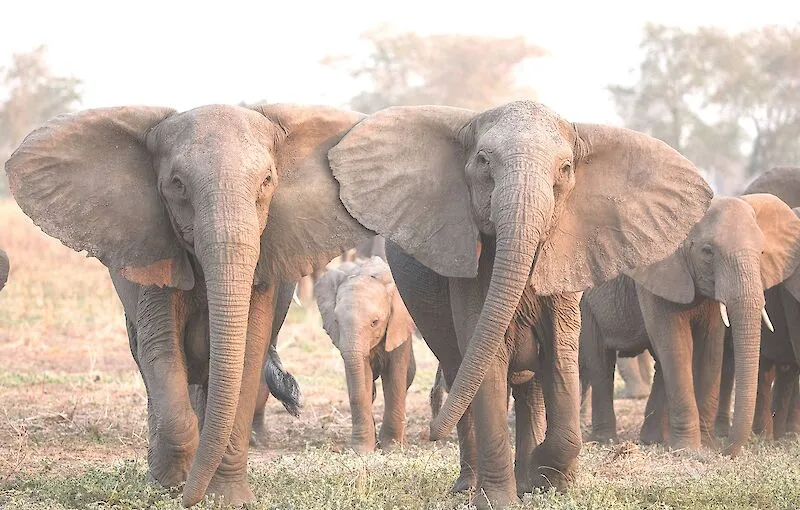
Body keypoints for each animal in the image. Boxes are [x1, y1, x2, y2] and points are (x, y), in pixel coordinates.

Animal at [5, 103, 373, 506]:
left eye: (266, 181)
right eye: (177, 184)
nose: (188, 499)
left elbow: (247, 355)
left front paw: (226, 498)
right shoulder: (155, 251)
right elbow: (161, 351)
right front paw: (170, 485)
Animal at [314, 256, 416, 452]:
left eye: (375, 322)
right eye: (336, 321)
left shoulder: (399, 325)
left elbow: (395, 378)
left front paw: (392, 447)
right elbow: (360, 383)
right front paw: (362, 451)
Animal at [326, 101, 714, 508]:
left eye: (565, 169)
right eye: (483, 161)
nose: (431, 432)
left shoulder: (567, 260)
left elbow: (561, 355)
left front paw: (549, 479)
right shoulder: (471, 269)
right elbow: (487, 361)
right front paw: (500, 498)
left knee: (530, 389)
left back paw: (527, 477)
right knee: (461, 373)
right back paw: (470, 486)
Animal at [579, 194, 800, 457]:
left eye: (763, 251)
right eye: (708, 252)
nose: (726, 450)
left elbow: (710, 348)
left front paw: (706, 446)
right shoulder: (658, 271)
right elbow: (676, 346)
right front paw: (688, 450)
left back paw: (652, 440)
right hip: (584, 302)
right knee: (600, 363)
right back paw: (606, 440)